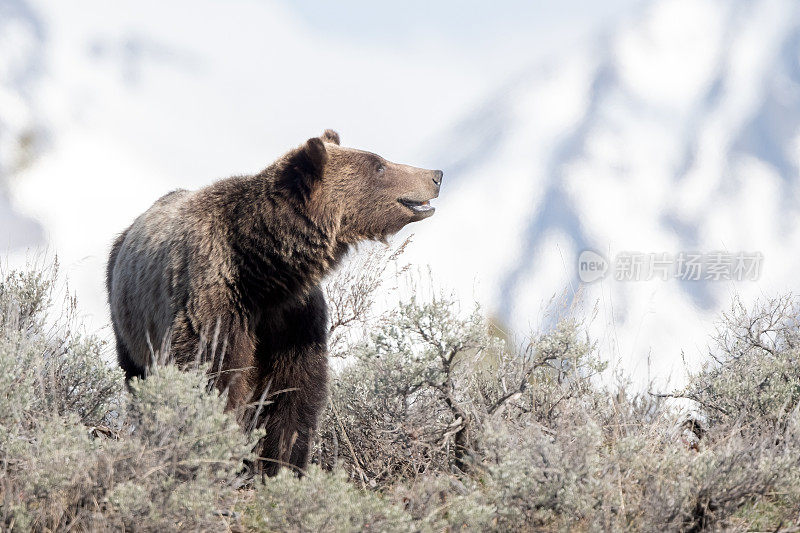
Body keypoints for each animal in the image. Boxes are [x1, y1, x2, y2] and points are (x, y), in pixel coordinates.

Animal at [105, 131, 440, 476]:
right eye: (379, 165)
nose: (435, 175)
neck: (262, 273)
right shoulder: (214, 305)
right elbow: (214, 379)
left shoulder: (293, 320)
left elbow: (294, 394)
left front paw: (282, 465)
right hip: (129, 325)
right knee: (139, 380)